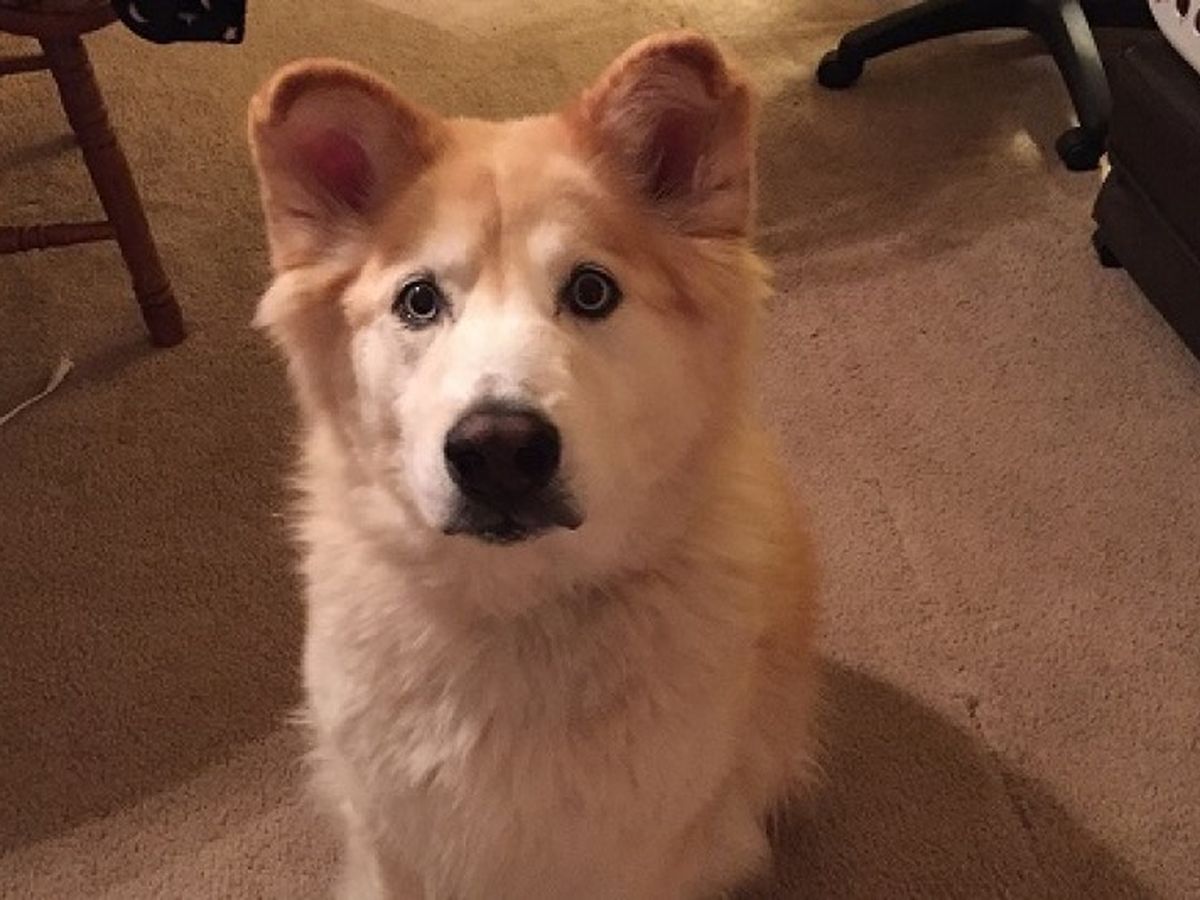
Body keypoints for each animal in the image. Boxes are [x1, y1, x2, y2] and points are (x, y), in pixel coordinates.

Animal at [248, 31, 819, 900]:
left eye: (590, 291)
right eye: (419, 301)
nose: (497, 450)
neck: (521, 614)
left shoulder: (635, 856)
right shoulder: (394, 840)